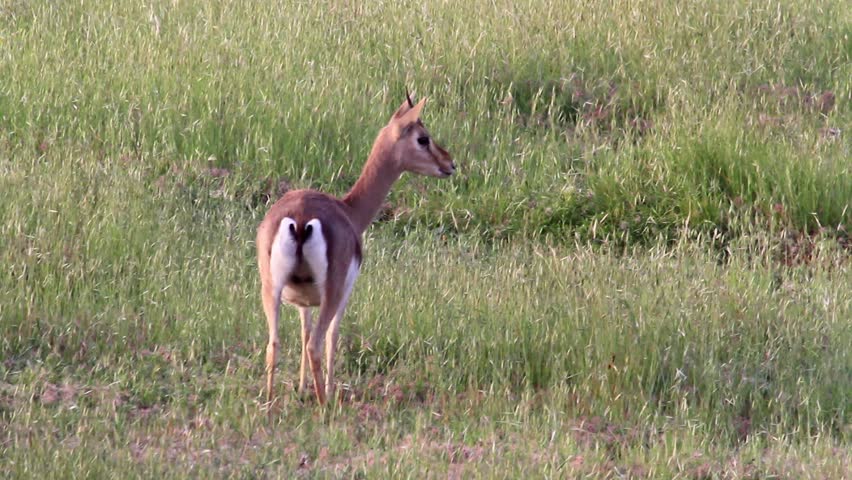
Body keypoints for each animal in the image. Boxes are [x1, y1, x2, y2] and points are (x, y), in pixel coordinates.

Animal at [256, 93, 455, 405]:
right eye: (423, 138)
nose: (450, 163)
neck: (349, 210)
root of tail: (300, 219)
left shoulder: (303, 302)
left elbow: (303, 331)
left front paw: (301, 388)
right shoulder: (345, 292)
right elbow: (332, 337)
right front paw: (329, 390)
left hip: (271, 289)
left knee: (274, 343)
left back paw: (269, 400)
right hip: (332, 292)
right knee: (316, 344)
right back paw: (325, 404)